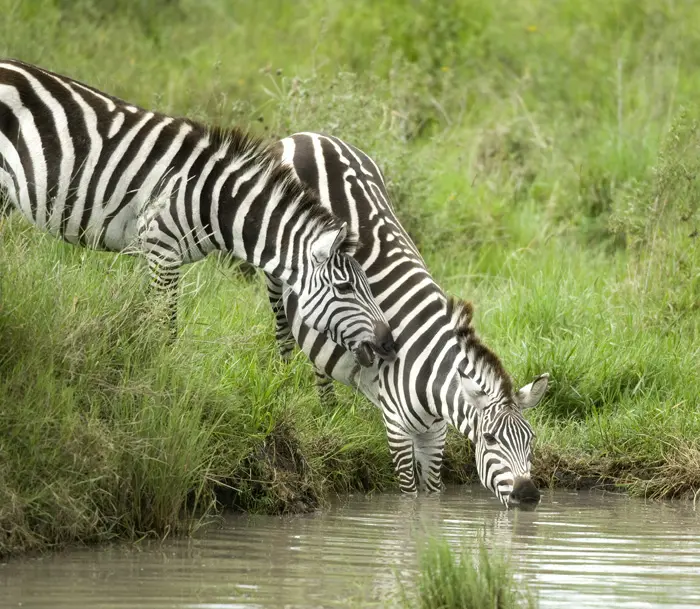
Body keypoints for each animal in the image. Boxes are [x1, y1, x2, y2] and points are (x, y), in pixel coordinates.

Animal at [0, 60, 394, 366]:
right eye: (345, 287)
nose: (389, 344)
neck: (218, 200)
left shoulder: (152, 254)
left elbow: (145, 314)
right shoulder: (161, 248)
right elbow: (167, 325)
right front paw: (163, 373)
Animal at [266, 133, 548, 508]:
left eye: (530, 439)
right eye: (489, 439)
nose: (528, 495)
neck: (431, 375)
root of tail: (309, 135)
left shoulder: (435, 432)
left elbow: (431, 495)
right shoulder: (397, 428)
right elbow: (408, 499)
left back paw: (328, 409)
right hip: (275, 268)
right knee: (282, 331)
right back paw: (281, 386)